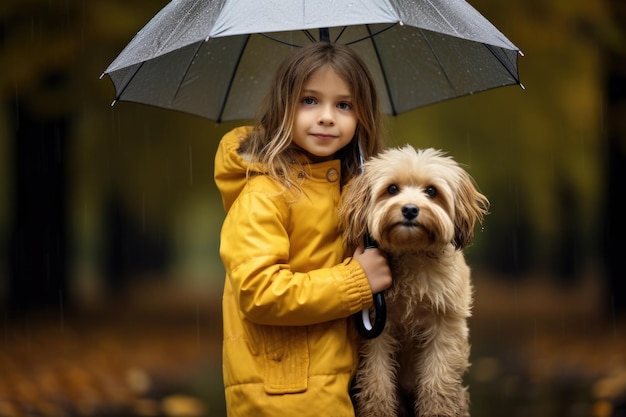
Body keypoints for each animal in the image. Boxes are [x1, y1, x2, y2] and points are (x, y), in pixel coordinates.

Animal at [336, 145, 488, 416]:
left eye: (431, 191)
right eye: (392, 189)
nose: (409, 209)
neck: (411, 252)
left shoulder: (445, 326)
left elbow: (438, 383)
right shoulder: (378, 332)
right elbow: (377, 383)